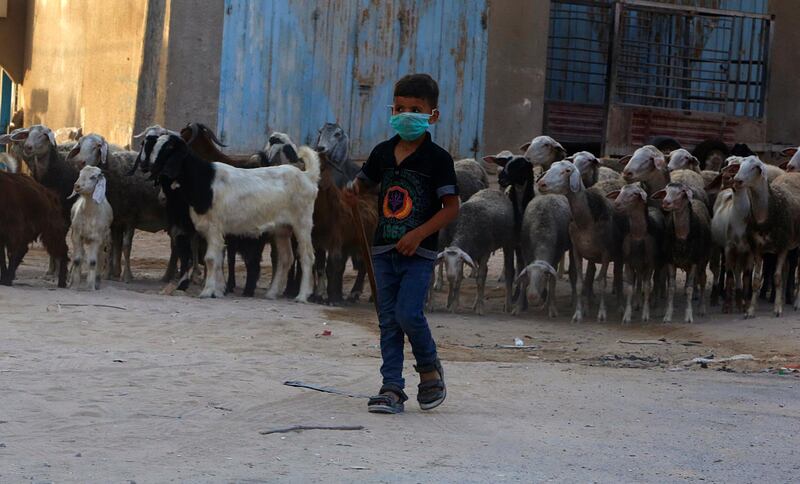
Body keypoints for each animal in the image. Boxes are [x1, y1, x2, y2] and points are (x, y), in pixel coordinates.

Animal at [142, 134, 320, 300]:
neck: (205, 181)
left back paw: (302, 296)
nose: (150, 168)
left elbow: (211, 259)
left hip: (302, 224)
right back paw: (271, 293)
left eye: (169, 148)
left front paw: (207, 291)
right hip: (282, 229)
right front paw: (218, 291)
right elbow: (218, 260)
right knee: (285, 258)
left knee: (307, 256)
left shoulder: (214, 228)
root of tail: (307, 176)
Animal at [608, 185, 664, 326]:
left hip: (658, 262)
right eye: (620, 191)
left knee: (656, 279)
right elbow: (629, 288)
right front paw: (627, 316)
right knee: (638, 279)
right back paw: (637, 303)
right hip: (638, 264)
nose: (616, 203)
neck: (638, 235)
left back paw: (655, 303)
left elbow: (647, 286)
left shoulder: (650, 263)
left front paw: (645, 315)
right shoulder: (628, 262)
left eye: (634, 194)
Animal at [648, 183, 712, 324]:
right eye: (665, 191)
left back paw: (702, 308)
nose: (666, 202)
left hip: (703, 259)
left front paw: (688, 316)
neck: (682, 237)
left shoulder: (694, 261)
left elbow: (689, 288)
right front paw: (667, 316)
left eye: (681, 192)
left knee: (703, 279)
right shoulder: (670, 261)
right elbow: (671, 288)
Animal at [728, 157, 800, 318]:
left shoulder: (783, 247)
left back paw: (797, 303)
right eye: (740, 165)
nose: (737, 180)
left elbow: (777, 278)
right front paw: (750, 310)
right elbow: (755, 280)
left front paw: (778, 309)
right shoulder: (757, 248)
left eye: (755, 167)